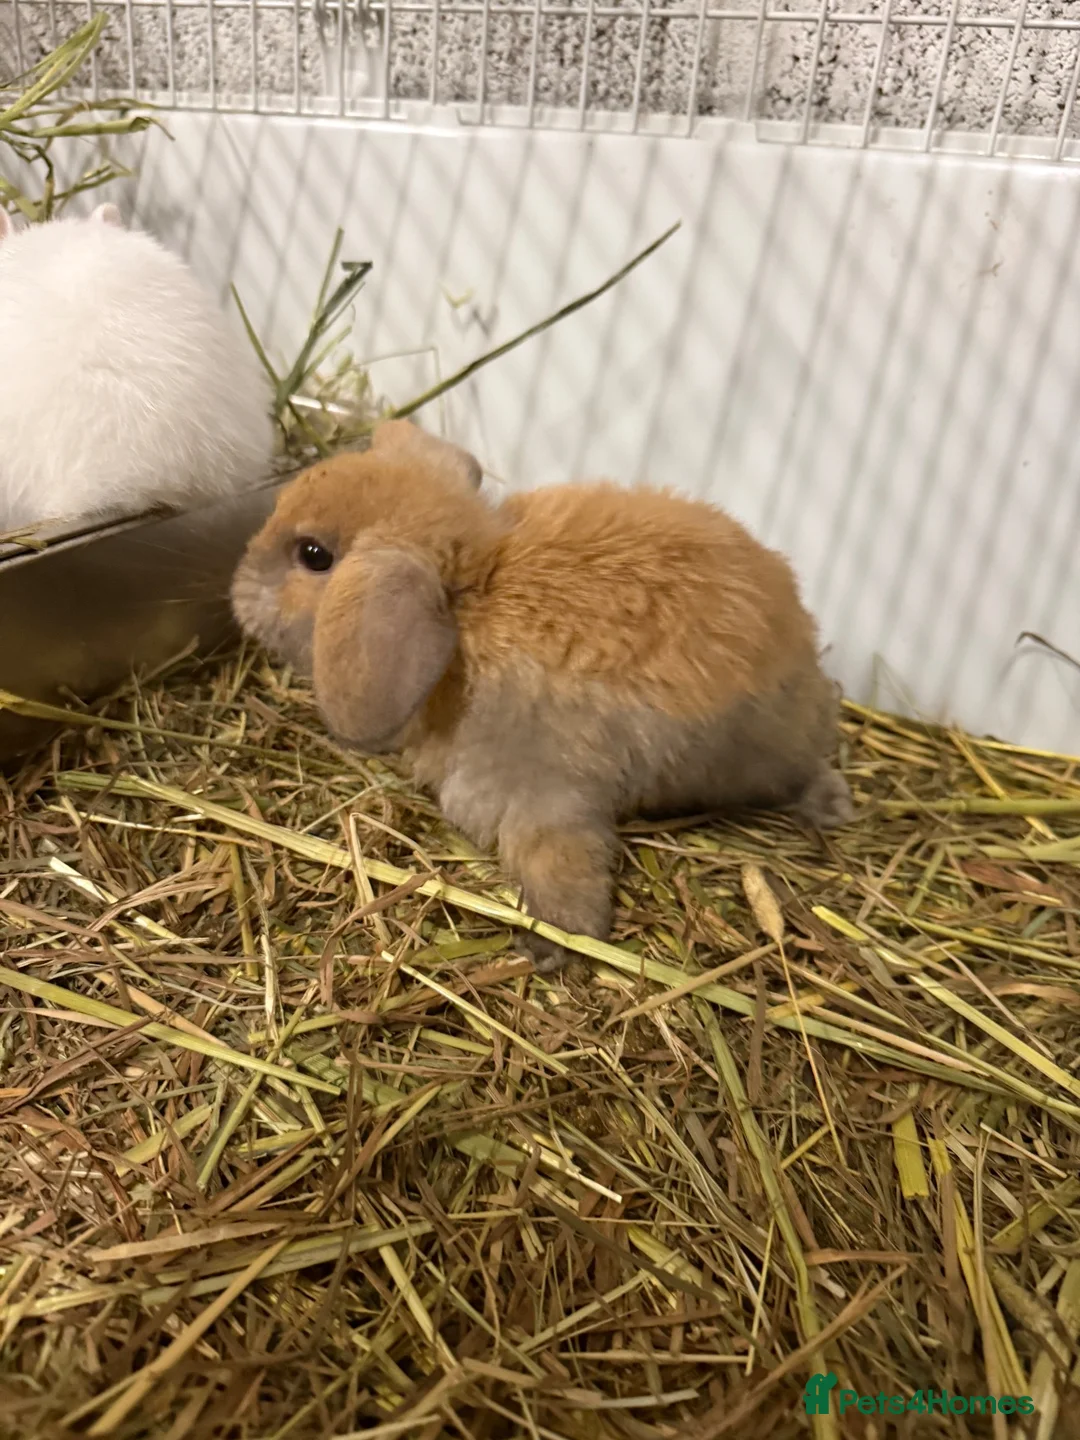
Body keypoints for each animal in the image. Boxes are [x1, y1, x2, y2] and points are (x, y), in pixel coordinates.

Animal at [231, 419, 854, 972]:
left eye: (313, 555)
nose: (237, 590)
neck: (473, 598)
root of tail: (800, 643)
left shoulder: (544, 794)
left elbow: (564, 865)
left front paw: (551, 945)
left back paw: (830, 807)